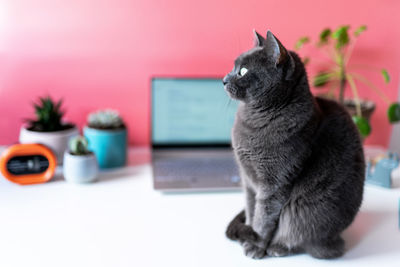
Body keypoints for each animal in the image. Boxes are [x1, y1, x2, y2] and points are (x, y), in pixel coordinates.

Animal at [222, 30, 366, 260]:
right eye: (233, 67)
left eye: (243, 71)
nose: (224, 79)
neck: (252, 121)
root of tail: (336, 239)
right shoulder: (248, 180)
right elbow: (251, 210)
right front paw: (248, 234)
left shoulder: (274, 184)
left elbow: (263, 219)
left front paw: (255, 245)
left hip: (307, 213)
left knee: (301, 236)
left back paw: (278, 247)